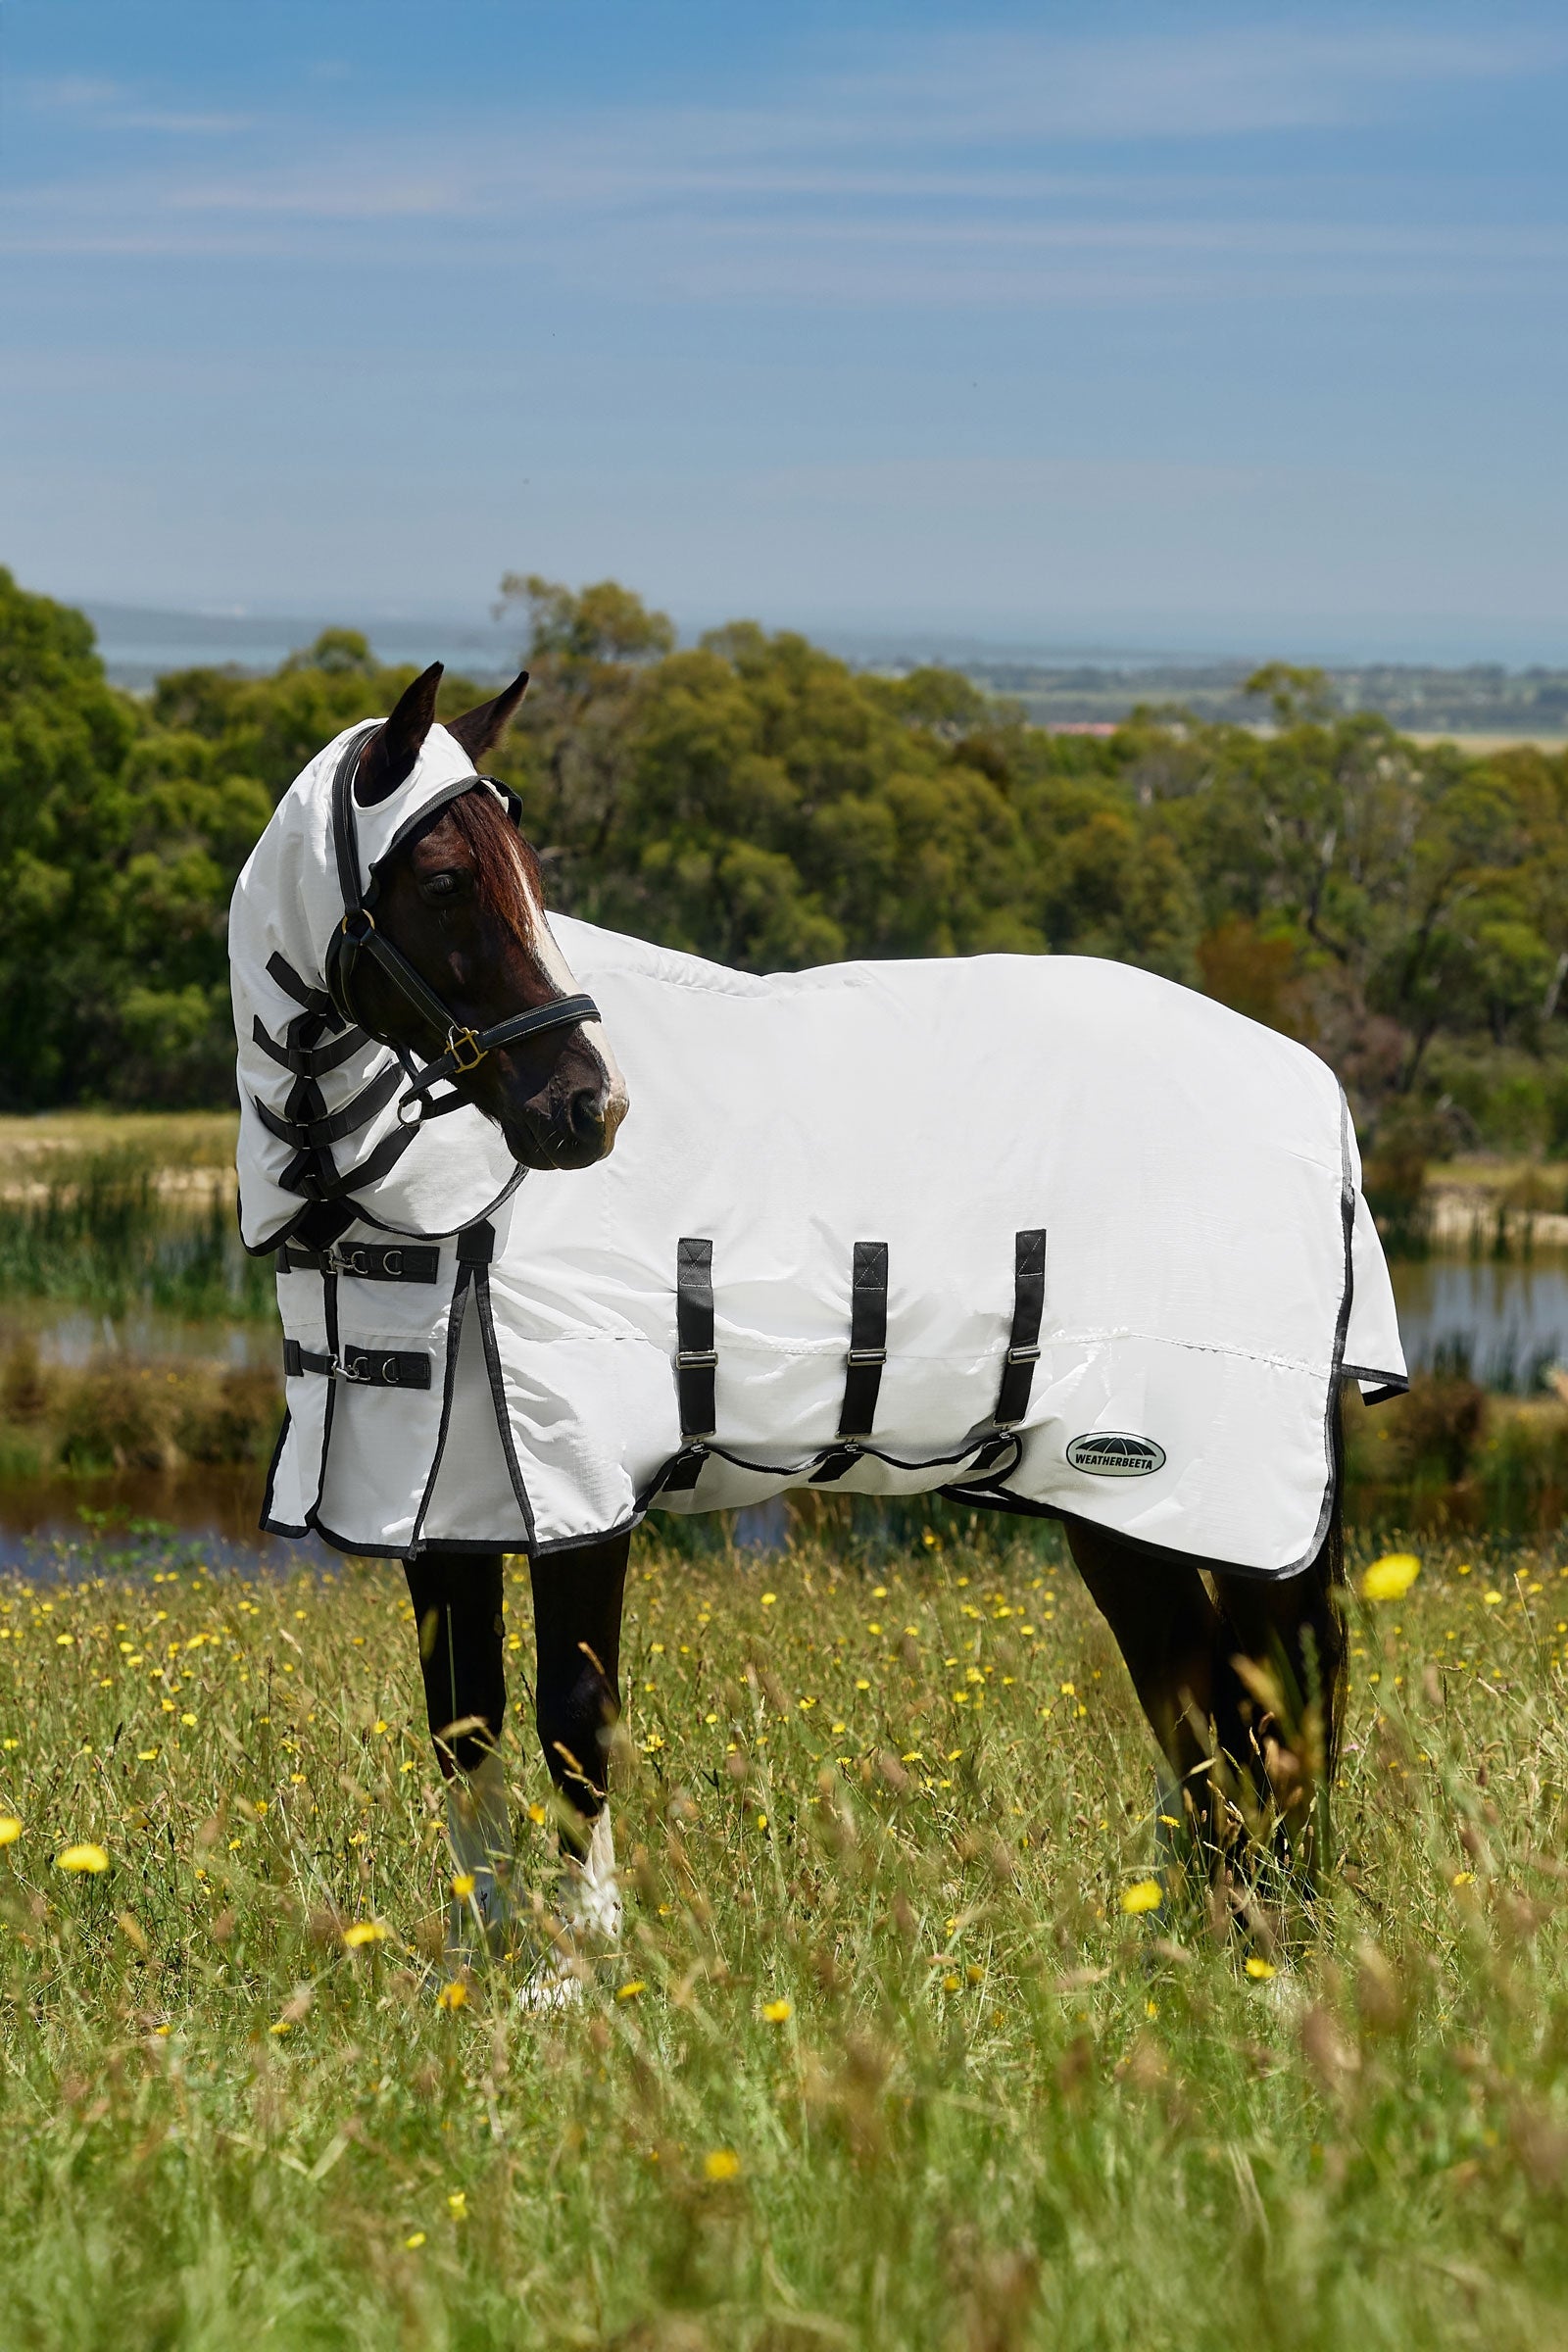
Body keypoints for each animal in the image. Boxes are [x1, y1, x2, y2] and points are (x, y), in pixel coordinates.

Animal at [232, 661, 1403, 1968]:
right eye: (442, 881)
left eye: (531, 877)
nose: (589, 1112)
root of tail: (1315, 1089)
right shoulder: (443, 1508)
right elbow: (462, 1726)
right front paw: (482, 1962)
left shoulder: (578, 1487)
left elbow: (574, 1717)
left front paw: (580, 1969)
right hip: (1113, 1504)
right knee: (1203, 1699)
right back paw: (1215, 1930)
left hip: (1202, 1495)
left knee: (1264, 1704)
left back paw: (1262, 1940)